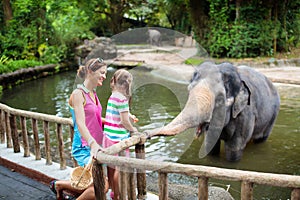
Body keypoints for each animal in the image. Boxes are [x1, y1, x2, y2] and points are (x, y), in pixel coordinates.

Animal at [146, 61, 280, 162]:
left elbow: (234, 148)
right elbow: (210, 144)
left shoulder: (245, 115)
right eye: (189, 90)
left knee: (261, 139)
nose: (146, 134)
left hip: (273, 116)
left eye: (220, 98)